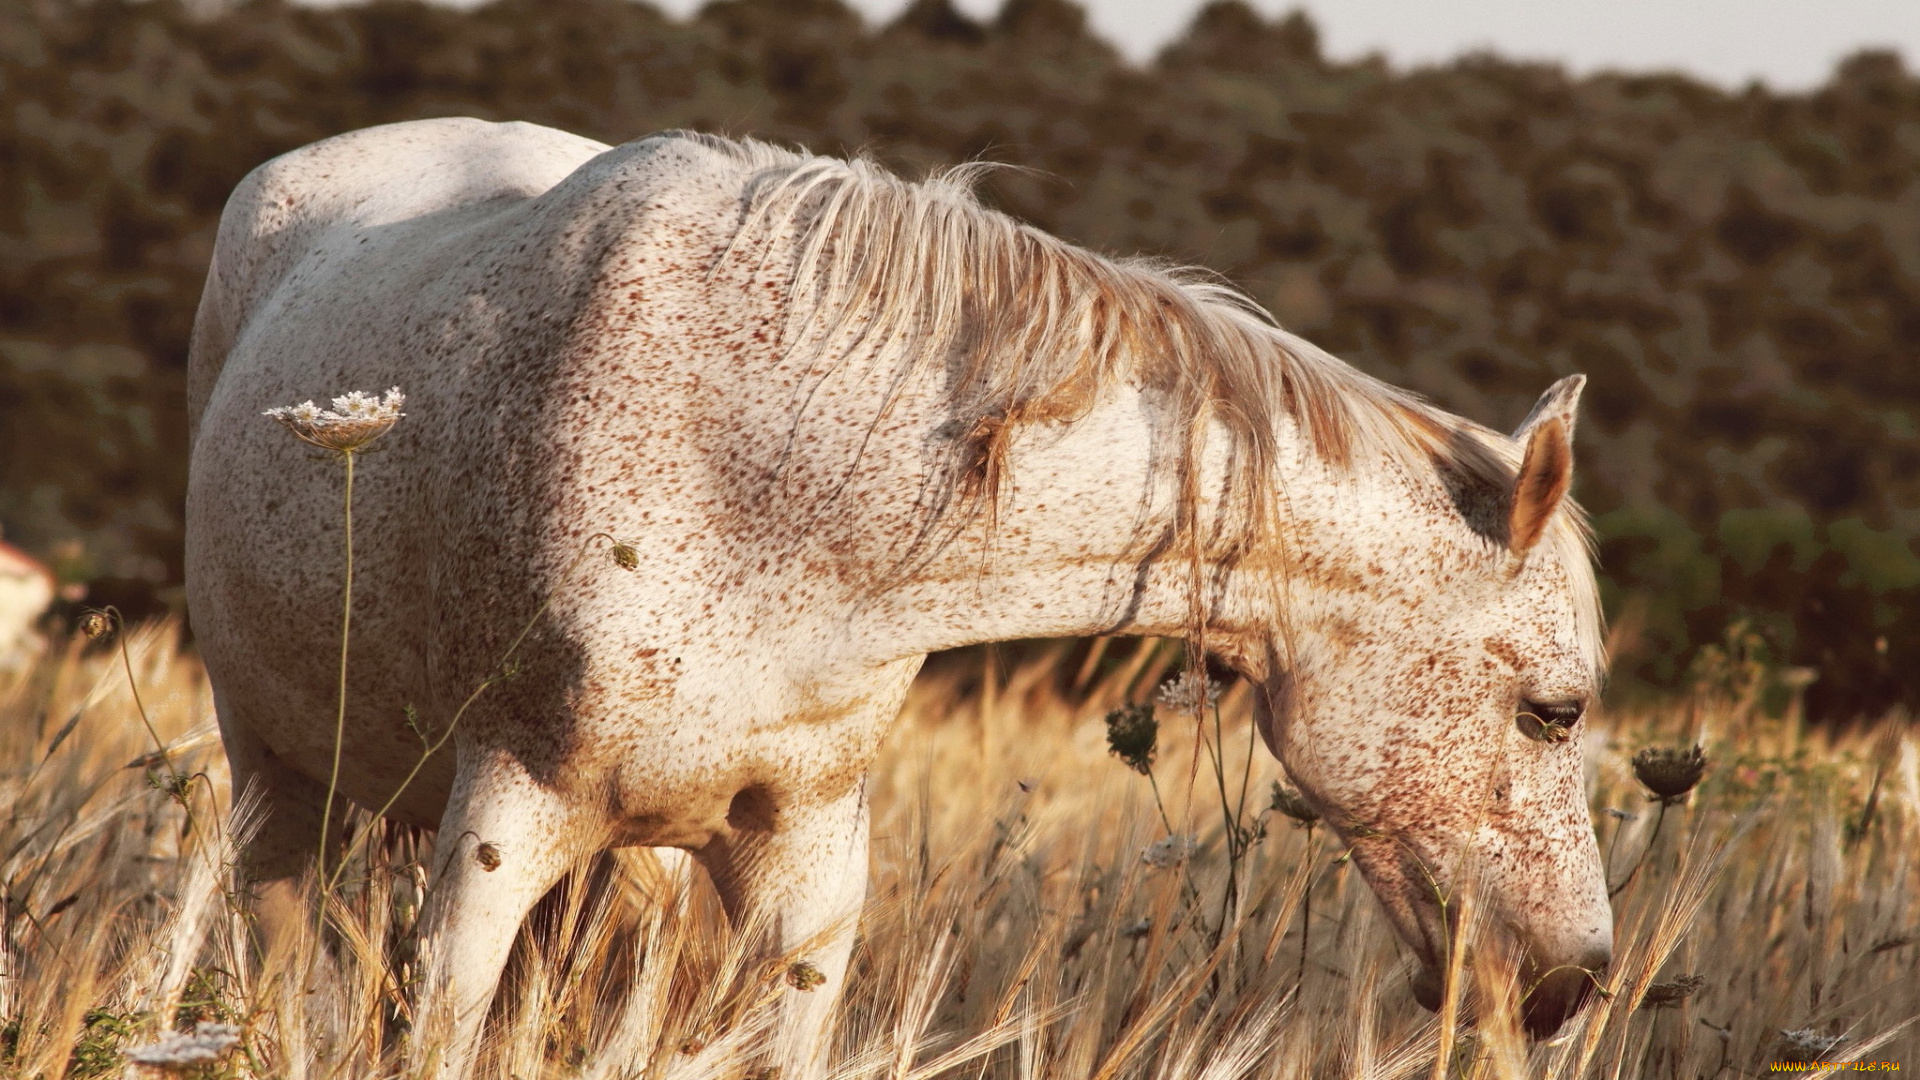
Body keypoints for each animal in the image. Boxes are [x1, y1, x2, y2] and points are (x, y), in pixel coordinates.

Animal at [191, 113, 1605, 1068]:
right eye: (1557, 711)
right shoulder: (502, 822)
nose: (1573, 981)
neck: (767, 473)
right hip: (277, 779)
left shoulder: (804, 856)